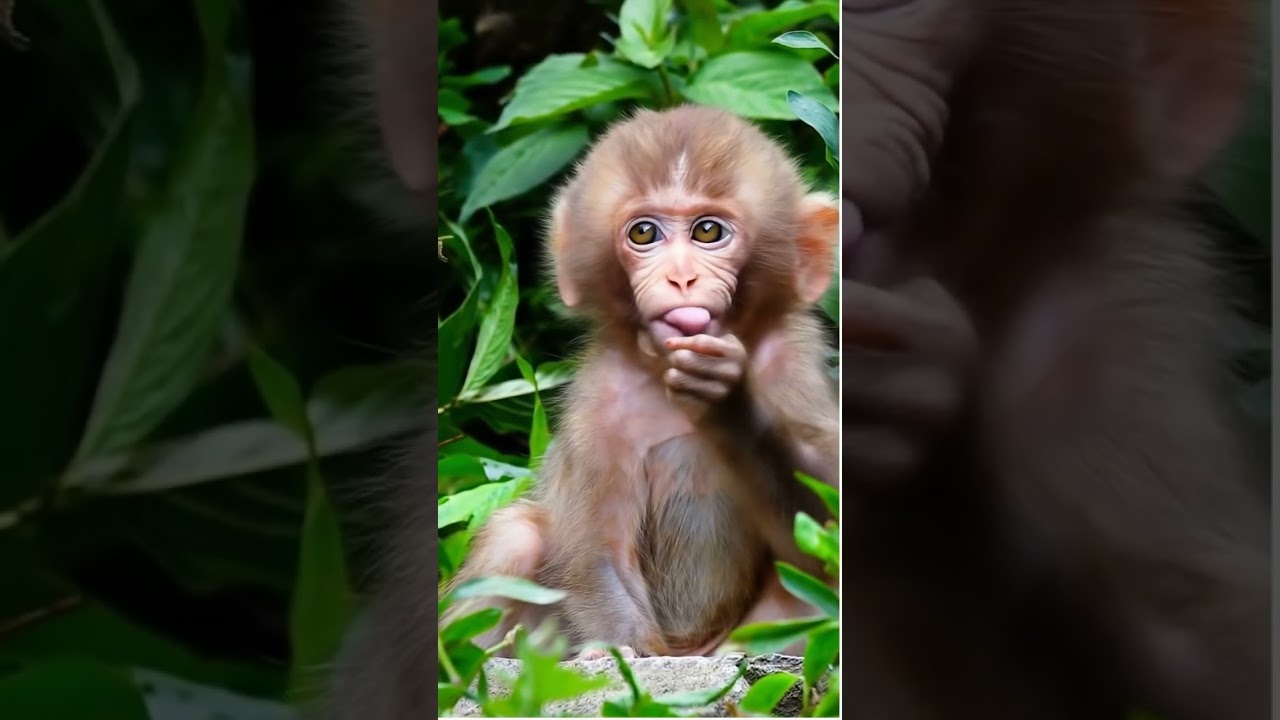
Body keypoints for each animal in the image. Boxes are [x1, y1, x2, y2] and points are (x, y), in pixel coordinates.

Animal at [438, 104, 842, 661]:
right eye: (645, 234)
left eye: (708, 232)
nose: (681, 278)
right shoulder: (599, 401)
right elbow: (598, 555)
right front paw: (624, 661)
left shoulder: (793, 365)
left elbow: (821, 542)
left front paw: (729, 404)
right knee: (516, 536)